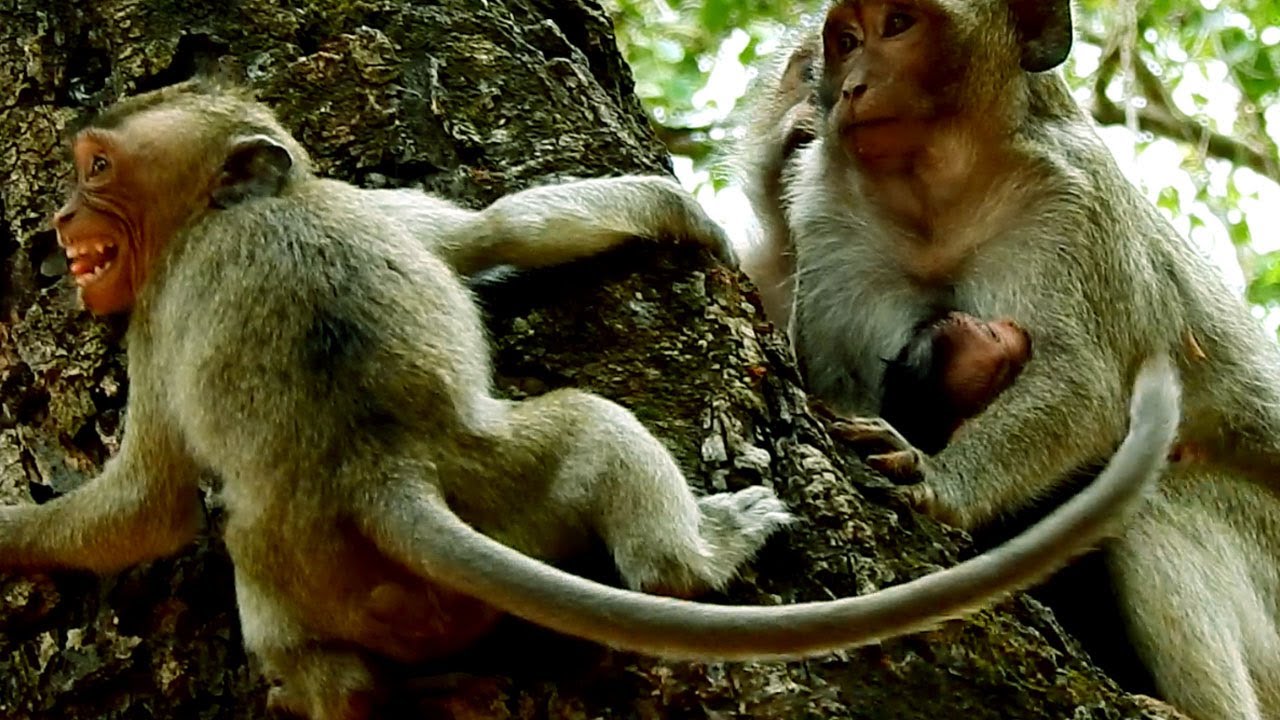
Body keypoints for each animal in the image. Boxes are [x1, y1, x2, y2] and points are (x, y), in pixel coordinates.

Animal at [0, 78, 1179, 720]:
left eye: (95, 165)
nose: (58, 220)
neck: (220, 211)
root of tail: (382, 475)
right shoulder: (170, 305)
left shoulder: (164, 308)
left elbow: (497, 234)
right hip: (437, 513)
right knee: (595, 442)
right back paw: (700, 550)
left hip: (338, 550)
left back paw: (327, 689)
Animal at [733, 0, 1280, 716]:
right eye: (845, 42)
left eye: (899, 25)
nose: (848, 89)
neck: (935, 197)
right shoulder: (827, 210)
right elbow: (833, 382)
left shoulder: (1074, 206)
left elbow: (1085, 385)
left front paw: (939, 477)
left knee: (1159, 504)